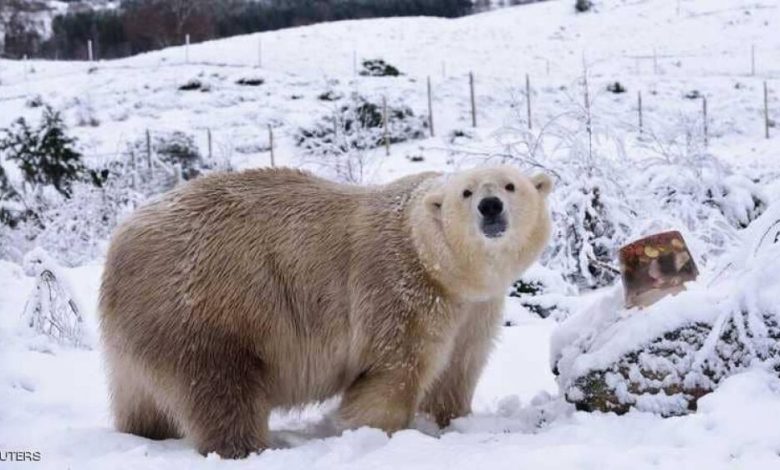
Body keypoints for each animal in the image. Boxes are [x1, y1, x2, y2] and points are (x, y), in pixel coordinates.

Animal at [99, 164, 556, 456]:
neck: (439, 265)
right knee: (220, 386)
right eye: (466, 191)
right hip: (207, 308)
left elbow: (458, 368)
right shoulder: (399, 287)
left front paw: (450, 420)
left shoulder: (475, 309)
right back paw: (248, 447)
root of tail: (120, 245)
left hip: (144, 327)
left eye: (510, 185)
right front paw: (374, 431)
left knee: (140, 396)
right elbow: (393, 371)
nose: (490, 206)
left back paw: (145, 433)